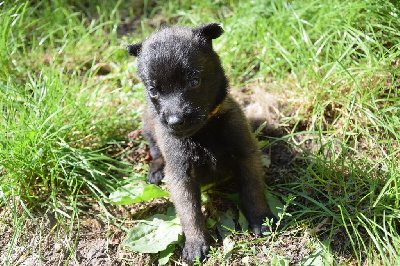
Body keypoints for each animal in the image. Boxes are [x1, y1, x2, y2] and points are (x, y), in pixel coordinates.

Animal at [126, 23, 274, 262]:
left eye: (194, 81)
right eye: (153, 90)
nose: (175, 121)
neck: (203, 132)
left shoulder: (246, 154)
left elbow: (253, 189)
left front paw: (261, 218)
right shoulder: (180, 175)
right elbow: (189, 212)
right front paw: (196, 242)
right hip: (149, 125)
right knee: (155, 150)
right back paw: (156, 170)